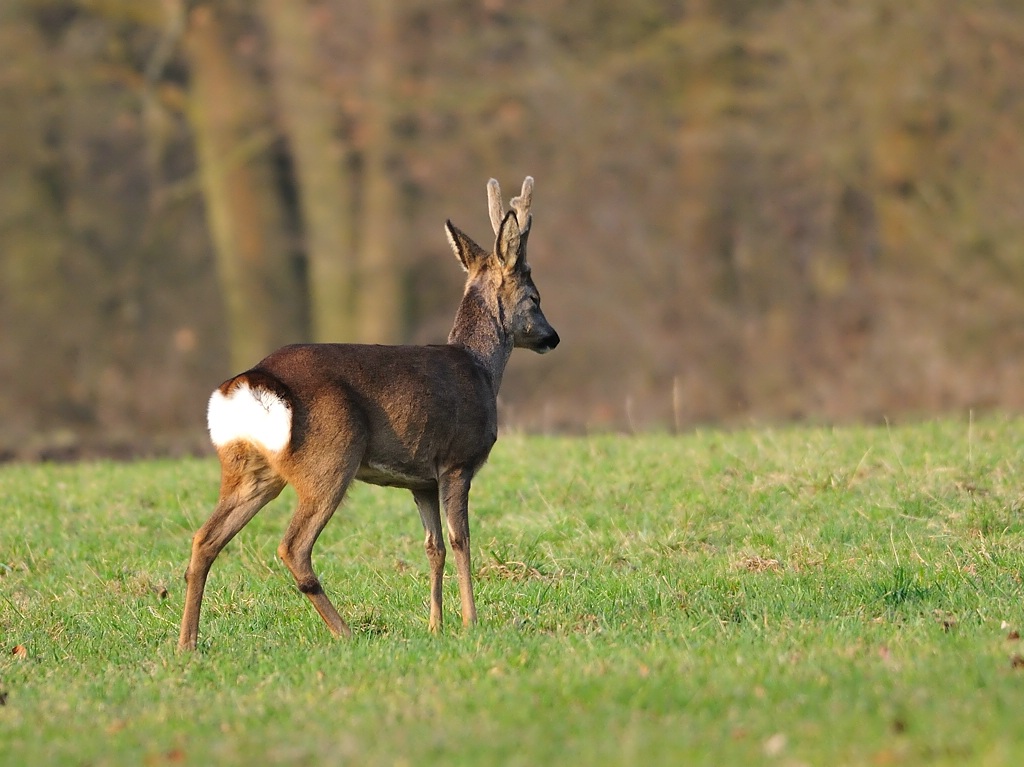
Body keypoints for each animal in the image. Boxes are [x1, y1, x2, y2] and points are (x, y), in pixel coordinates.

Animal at [178, 176, 559, 650]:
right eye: (535, 297)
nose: (552, 336)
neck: (481, 369)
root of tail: (254, 379)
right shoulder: (456, 461)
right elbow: (460, 540)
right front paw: (471, 622)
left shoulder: (420, 480)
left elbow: (432, 546)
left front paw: (435, 626)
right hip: (329, 457)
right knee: (292, 546)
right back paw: (345, 632)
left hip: (247, 468)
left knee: (204, 539)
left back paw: (187, 644)